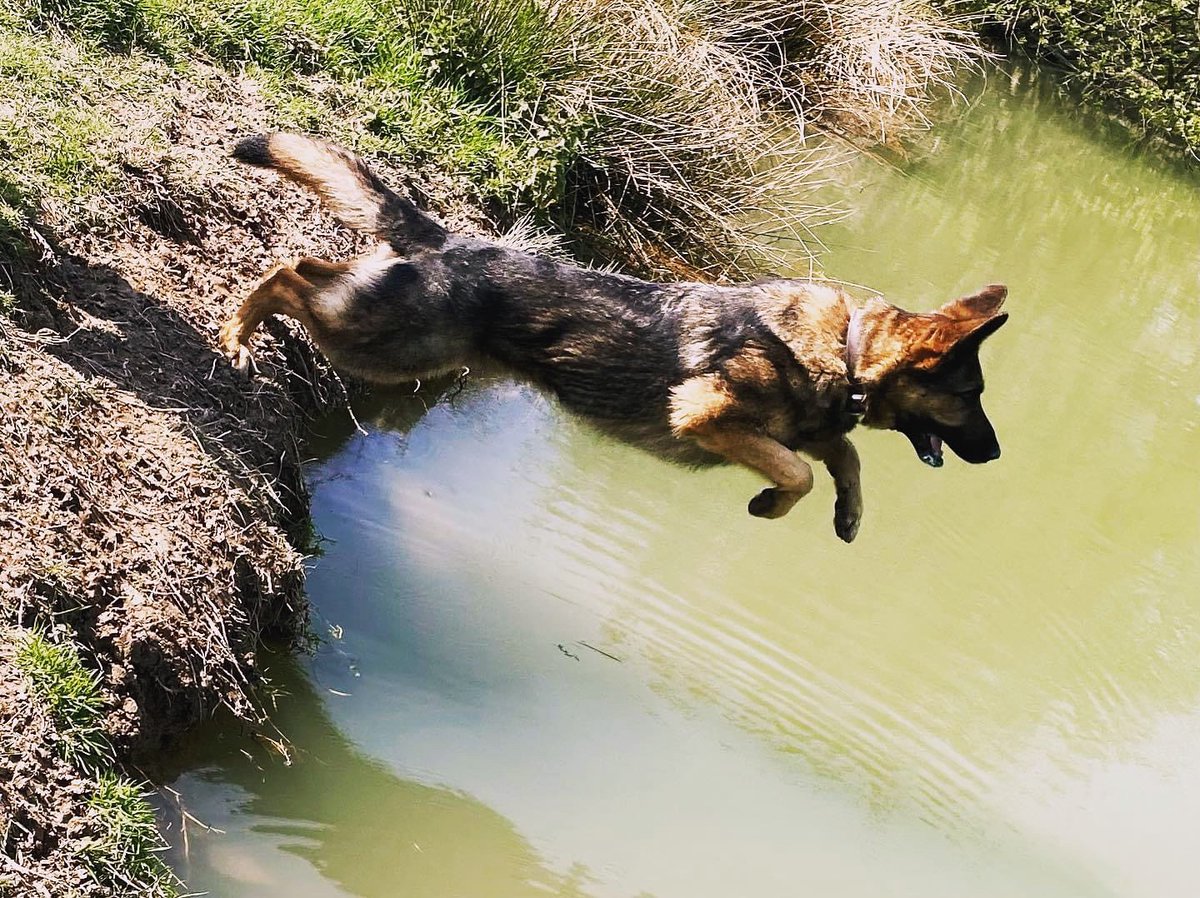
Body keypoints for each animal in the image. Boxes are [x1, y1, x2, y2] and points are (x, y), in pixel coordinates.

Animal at [220, 131, 1008, 540]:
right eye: (969, 394)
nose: (998, 455)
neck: (844, 349)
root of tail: (448, 241)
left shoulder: (811, 425)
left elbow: (842, 454)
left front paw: (848, 510)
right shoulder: (705, 417)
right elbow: (801, 468)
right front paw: (779, 500)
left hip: (384, 325)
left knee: (311, 266)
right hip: (388, 346)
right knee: (285, 274)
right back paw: (234, 334)